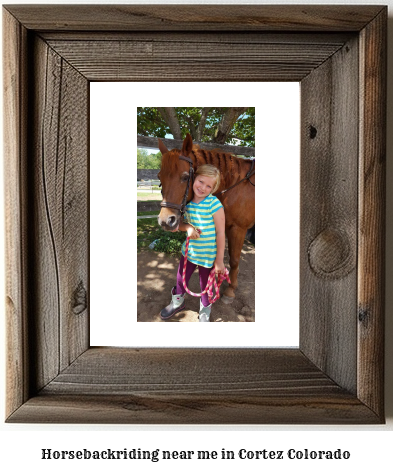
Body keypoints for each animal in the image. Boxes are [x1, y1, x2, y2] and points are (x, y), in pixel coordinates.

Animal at [156, 133, 254, 304]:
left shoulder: (238, 229)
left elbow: (234, 259)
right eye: (159, 177)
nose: (166, 221)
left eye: (185, 177)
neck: (235, 187)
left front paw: (230, 290)